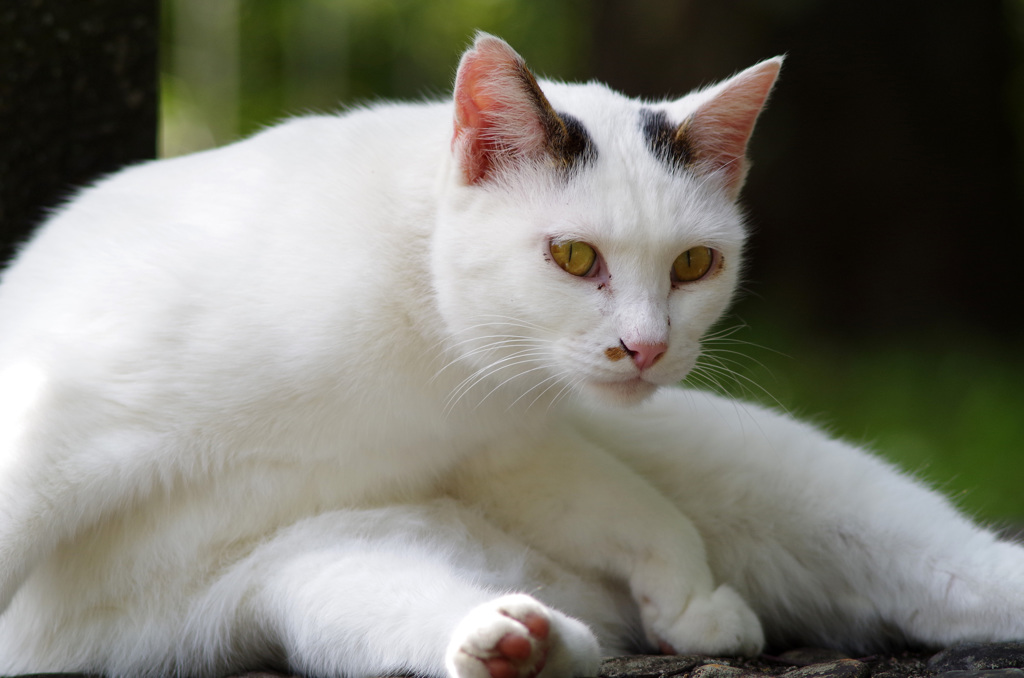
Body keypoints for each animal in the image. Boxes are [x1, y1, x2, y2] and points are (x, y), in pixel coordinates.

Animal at [2, 34, 1024, 678]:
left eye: (695, 265)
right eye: (573, 257)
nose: (645, 347)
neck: (415, 345)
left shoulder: (503, 447)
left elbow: (640, 512)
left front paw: (691, 602)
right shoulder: (60, 418)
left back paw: (535, 639)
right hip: (316, 574)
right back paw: (521, 638)